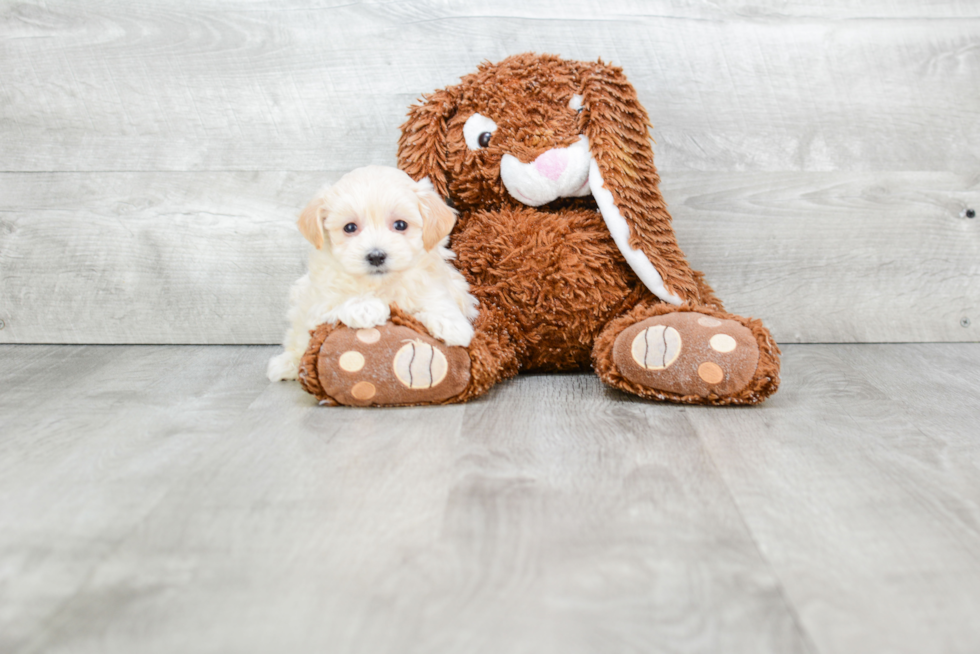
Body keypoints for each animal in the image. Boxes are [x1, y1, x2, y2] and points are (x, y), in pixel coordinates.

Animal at [270, 165, 476, 384]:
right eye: (350, 227)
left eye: (400, 225)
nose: (376, 256)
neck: (380, 284)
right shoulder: (319, 303)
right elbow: (338, 300)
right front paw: (365, 308)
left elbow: (436, 297)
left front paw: (451, 324)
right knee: (296, 340)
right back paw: (287, 364)